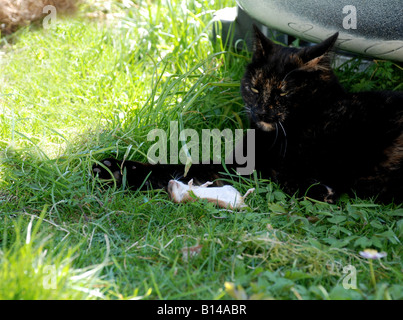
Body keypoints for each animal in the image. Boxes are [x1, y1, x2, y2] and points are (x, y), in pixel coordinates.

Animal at [93, 26, 403, 204]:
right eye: (255, 86)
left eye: (283, 92)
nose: (261, 110)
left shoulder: (247, 168)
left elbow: (182, 167)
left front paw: (116, 169)